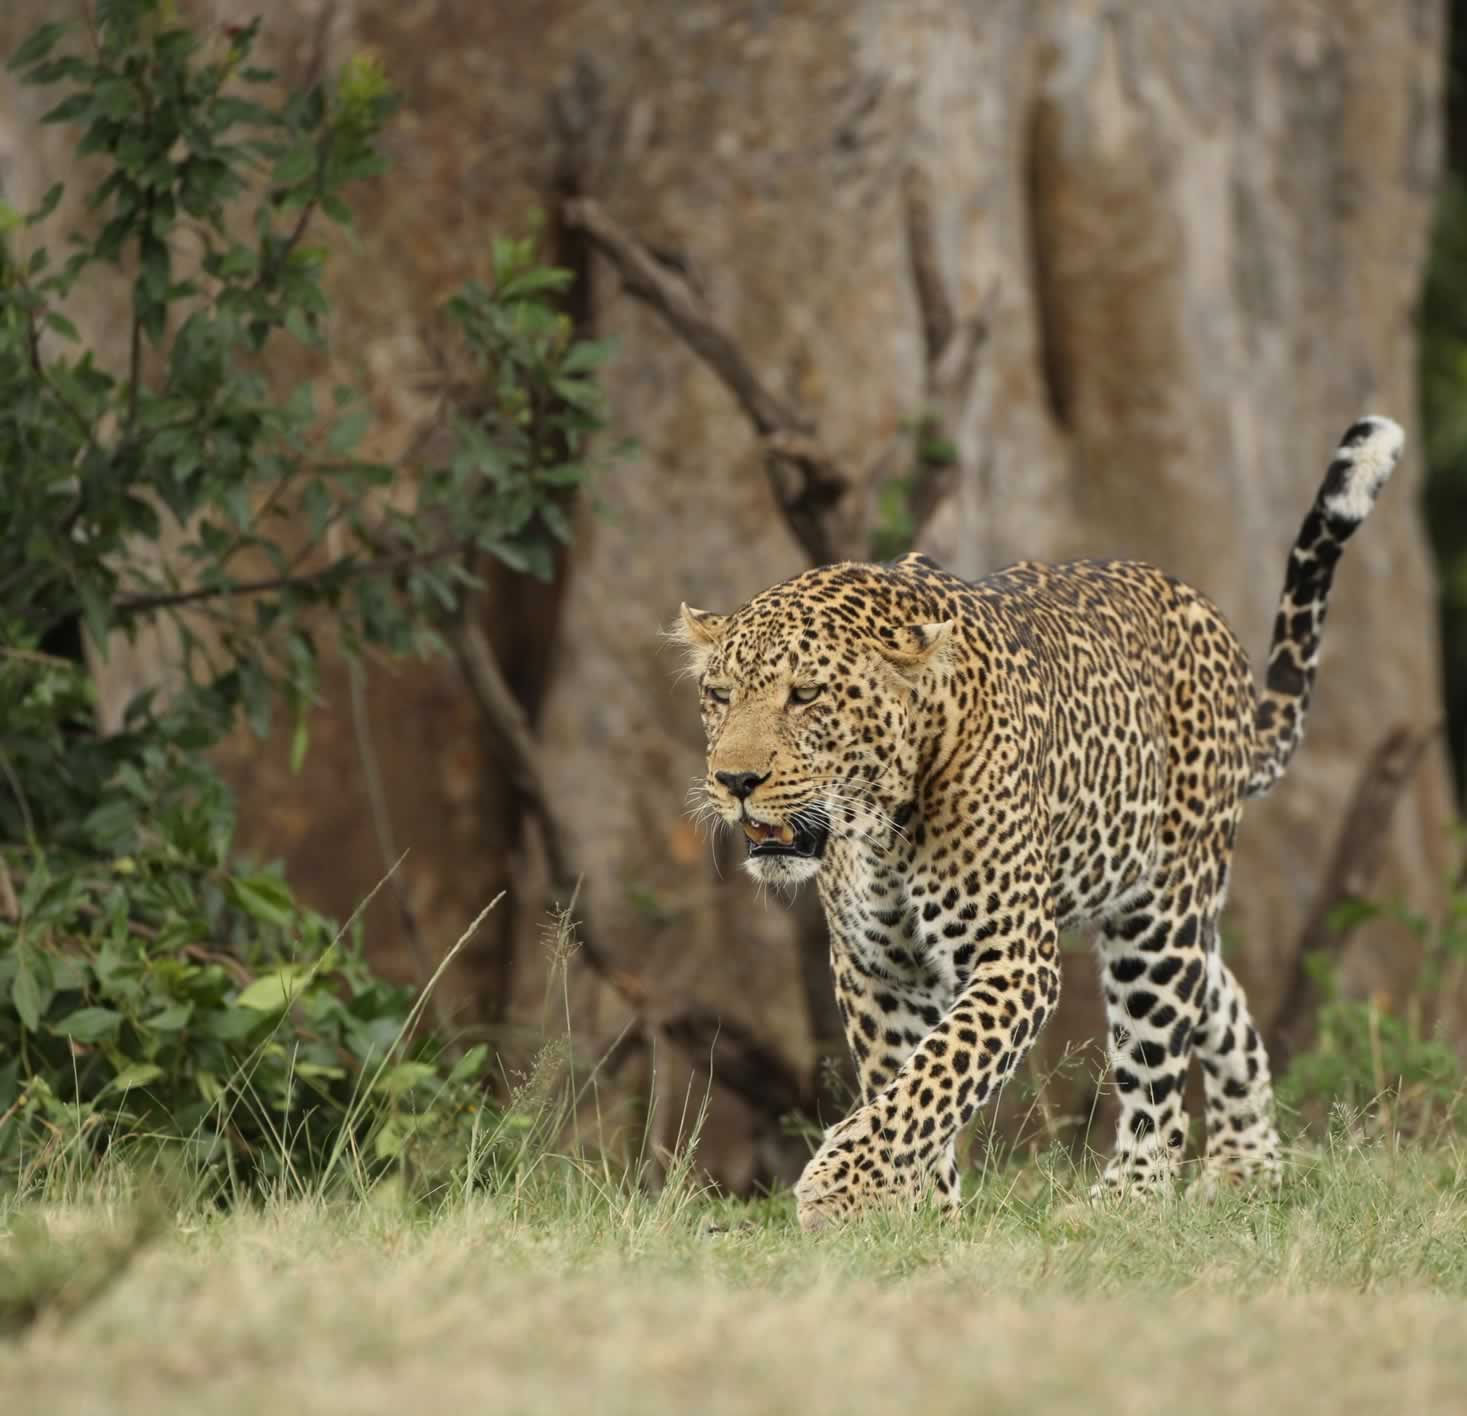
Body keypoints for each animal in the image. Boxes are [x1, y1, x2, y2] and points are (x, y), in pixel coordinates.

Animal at [671, 410, 1402, 1226]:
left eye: (805, 695)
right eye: (718, 696)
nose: (735, 780)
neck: (880, 824)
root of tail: (1206, 613)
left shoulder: (1013, 956)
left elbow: (935, 1074)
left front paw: (843, 1188)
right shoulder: (875, 970)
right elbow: (903, 1079)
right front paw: (920, 1214)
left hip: (1159, 917)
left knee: (1158, 1075)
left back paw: (1124, 1204)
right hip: (1158, 913)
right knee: (1221, 998)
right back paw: (1249, 1168)